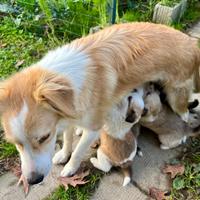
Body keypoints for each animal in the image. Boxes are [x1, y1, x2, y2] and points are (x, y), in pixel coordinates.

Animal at [0, 21, 200, 183]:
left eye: (44, 137)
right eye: (15, 143)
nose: (33, 181)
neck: (66, 78)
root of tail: (191, 42)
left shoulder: (94, 128)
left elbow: (78, 151)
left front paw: (70, 167)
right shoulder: (69, 117)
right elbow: (67, 139)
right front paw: (63, 154)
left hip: (176, 97)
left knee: (184, 114)